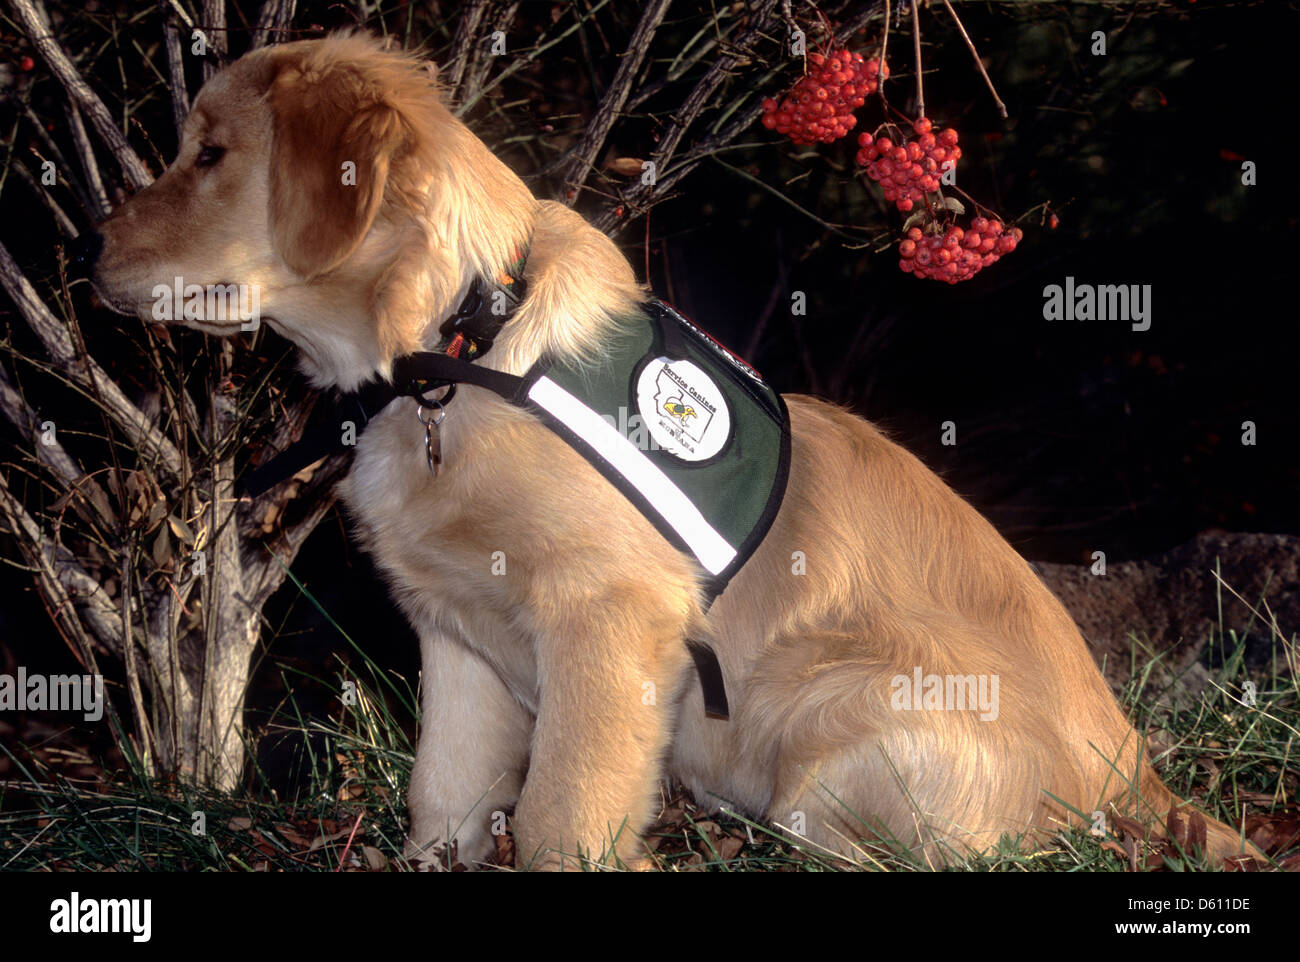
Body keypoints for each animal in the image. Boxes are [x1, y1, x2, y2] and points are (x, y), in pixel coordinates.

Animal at [86, 33, 1253, 868]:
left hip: (834, 699)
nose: (90, 255)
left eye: (211, 154)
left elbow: (560, 816)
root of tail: (1136, 772)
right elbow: (441, 796)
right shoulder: (456, 636)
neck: (457, 346)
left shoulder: (608, 618)